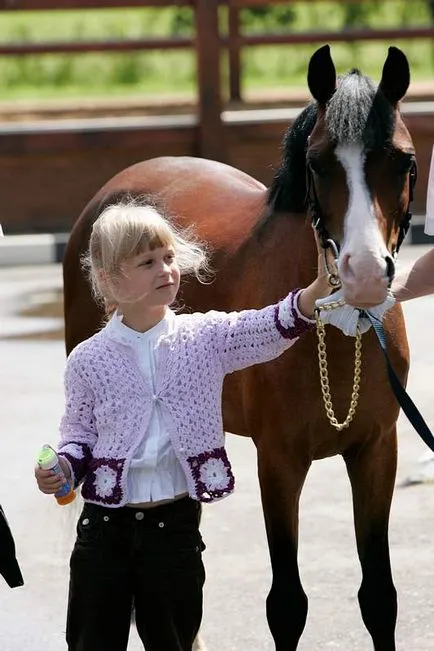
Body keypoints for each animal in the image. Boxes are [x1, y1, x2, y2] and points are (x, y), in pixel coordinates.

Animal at [62, 47, 416, 651]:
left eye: (403, 161)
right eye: (318, 163)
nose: (365, 275)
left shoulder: (376, 452)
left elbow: (379, 598)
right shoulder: (278, 460)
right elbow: (287, 605)